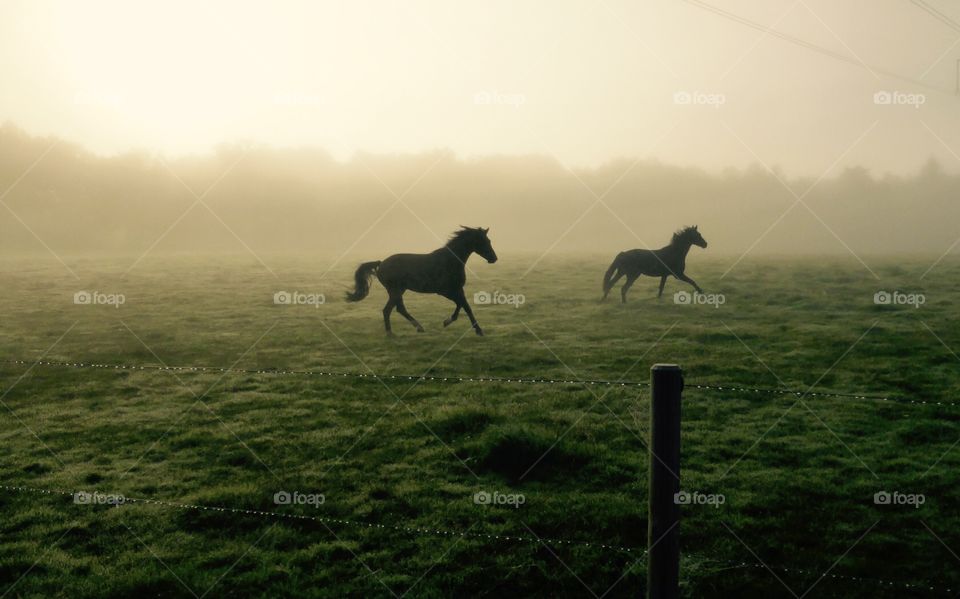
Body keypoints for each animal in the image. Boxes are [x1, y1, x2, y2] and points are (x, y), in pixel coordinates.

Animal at [345, 227, 498, 336]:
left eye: (489, 241)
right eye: (484, 241)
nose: (494, 258)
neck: (450, 261)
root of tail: (381, 264)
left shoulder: (458, 289)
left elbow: (464, 306)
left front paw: (450, 322)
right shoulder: (445, 291)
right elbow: (463, 305)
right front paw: (474, 329)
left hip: (399, 290)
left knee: (399, 309)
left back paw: (418, 327)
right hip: (395, 290)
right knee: (388, 310)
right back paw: (391, 333)